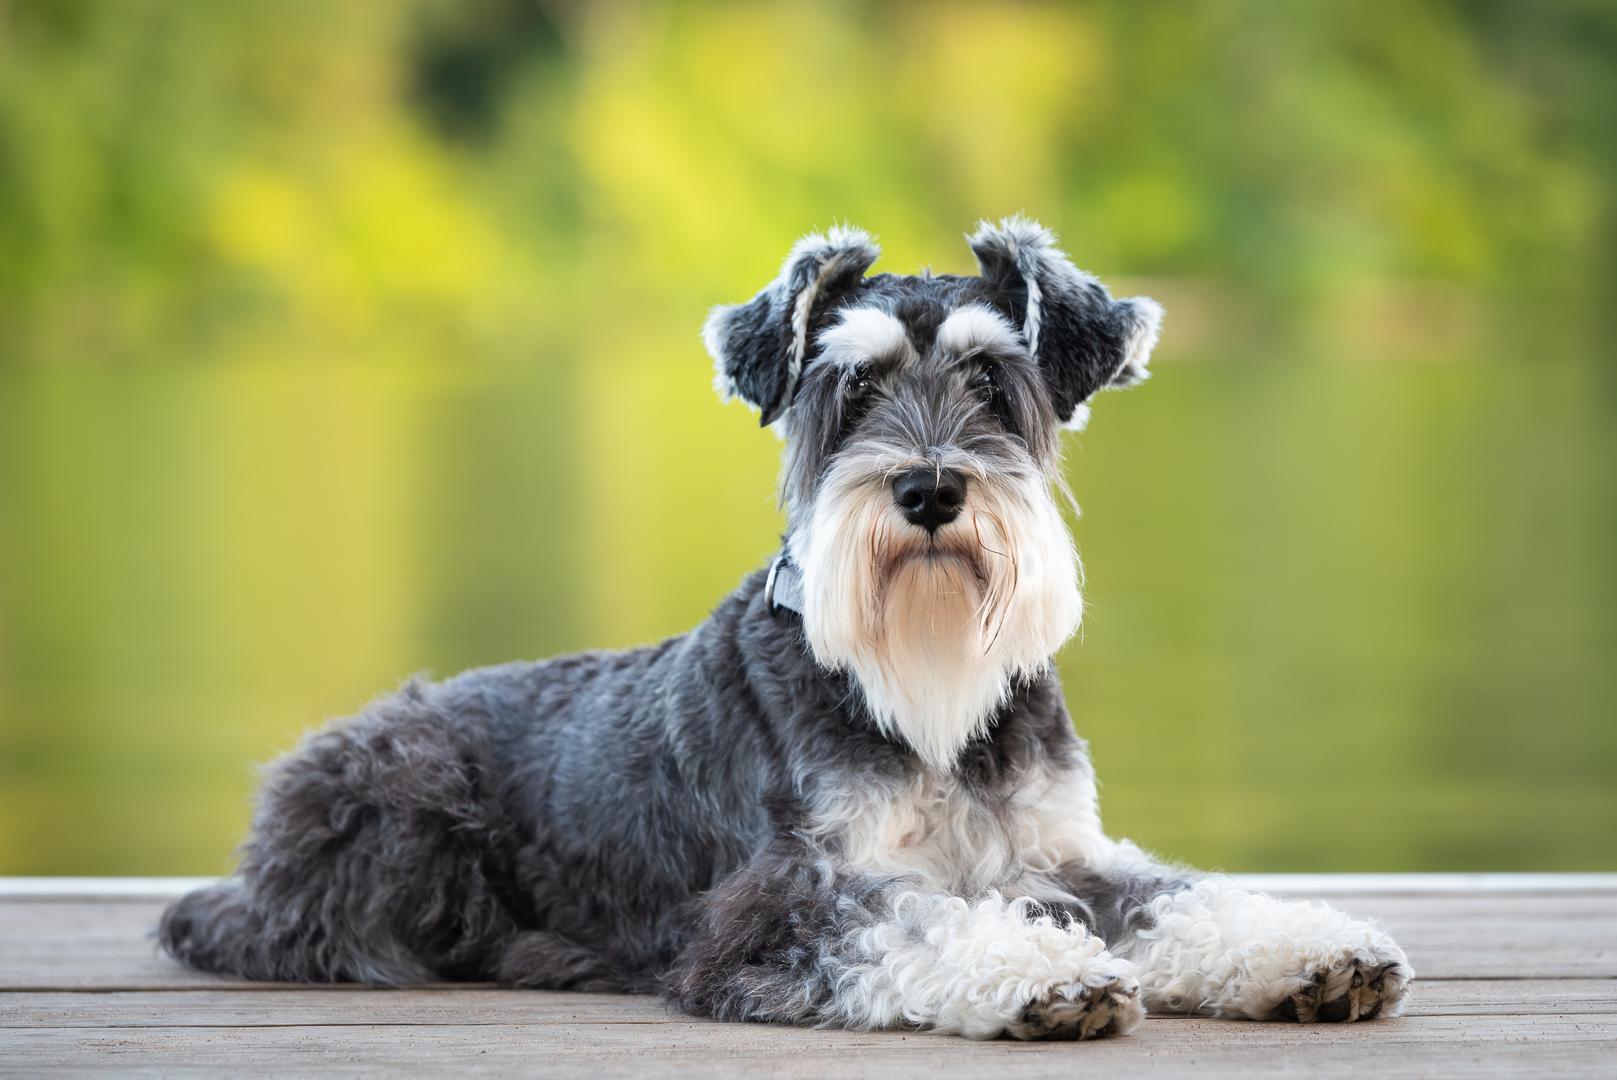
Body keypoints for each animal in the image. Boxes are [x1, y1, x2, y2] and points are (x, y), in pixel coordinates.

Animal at [157, 219, 1410, 1034]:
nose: (928, 489)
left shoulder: (1061, 855)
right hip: (398, 801)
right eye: (849, 393)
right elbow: (911, 920)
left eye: (994, 385)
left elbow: (1183, 896)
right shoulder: (776, 902)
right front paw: (1035, 974)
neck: (925, 697)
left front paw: (1311, 949)